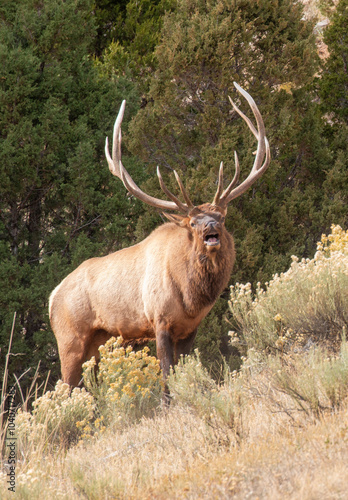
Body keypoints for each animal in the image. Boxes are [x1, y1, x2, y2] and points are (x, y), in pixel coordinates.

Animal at [49, 82, 270, 396]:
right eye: (193, 222)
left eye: (222, 216)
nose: (211, 226)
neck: (192, 298)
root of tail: (52, 298)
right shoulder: (159, 320)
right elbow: (165, 377)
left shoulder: (190, 328)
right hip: (70, 339)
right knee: (62, 390)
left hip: (98, 343)